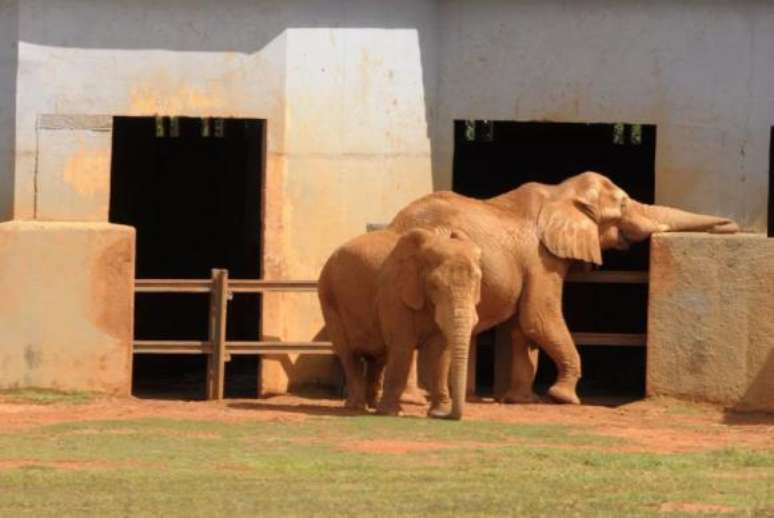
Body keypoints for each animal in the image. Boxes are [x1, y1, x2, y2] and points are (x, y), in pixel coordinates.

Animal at [378, 230, 484, 420]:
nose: (446, 416)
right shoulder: (395, 293)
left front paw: (438, 412)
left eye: (477, 283)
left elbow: (438, 351)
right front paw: (390, 413)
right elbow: (402, 345)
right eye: (434, 285)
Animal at [388, 172, 740, 406]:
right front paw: (564, 398)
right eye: (623, 206)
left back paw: (414, 399)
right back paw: (413, 401)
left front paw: (521, 400)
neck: (561, 192)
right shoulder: (542, 258)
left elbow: (522, 328)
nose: (731, 226)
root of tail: (393, 225)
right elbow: (538, 316)